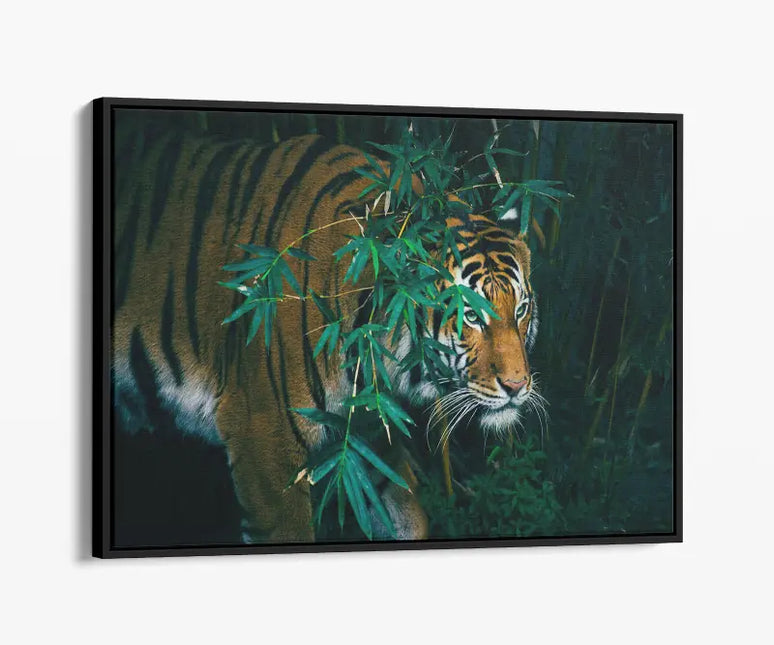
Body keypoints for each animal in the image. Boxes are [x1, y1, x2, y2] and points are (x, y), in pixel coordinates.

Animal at [112, 131, 539, 544]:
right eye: (471, 315)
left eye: (520, 310)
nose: (518, 386)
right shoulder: (262, 440)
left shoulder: (363, 431)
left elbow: (404, 515)